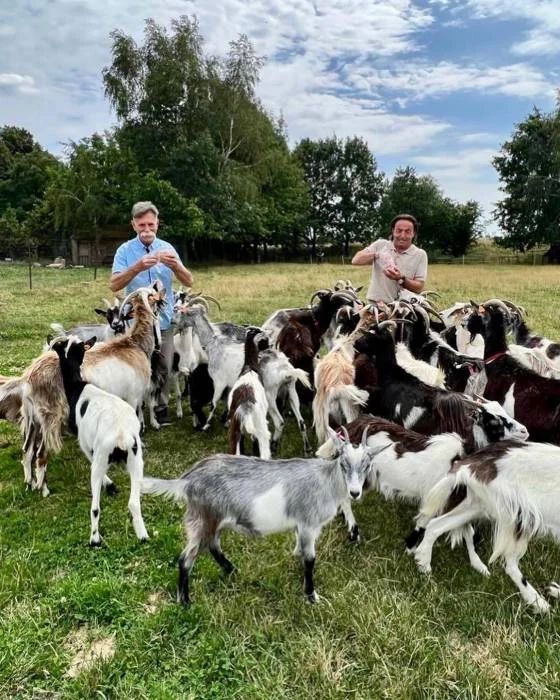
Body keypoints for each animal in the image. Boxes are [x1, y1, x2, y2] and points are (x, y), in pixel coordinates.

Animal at [49, 334, 149, 548]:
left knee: (95, 507)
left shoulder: (87, 446)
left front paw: (110, 485)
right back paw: (142, 534)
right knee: (134, 502)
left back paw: (94, 538)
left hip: (102, 456)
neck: (77, 387)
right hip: (136, 459)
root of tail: (121, 435)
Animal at [142, 426, 382, 608]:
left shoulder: (301, 527)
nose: (354, 492)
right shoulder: (308, 524)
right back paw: (185, 602)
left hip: (214, 519)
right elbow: (310, 560)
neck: (327, 481)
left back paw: (231, 570)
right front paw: (311, 596)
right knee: (186, 558)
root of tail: (187, 480)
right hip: (203, 518)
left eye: (367, 464)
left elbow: (299, 552)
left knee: (213, 545)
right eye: (343, 463)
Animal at [228, 328, 272, 460]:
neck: (250, 368)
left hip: (235, 431)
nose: (272, 344)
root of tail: (245, 406)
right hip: (261, 430)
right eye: (264, 339)